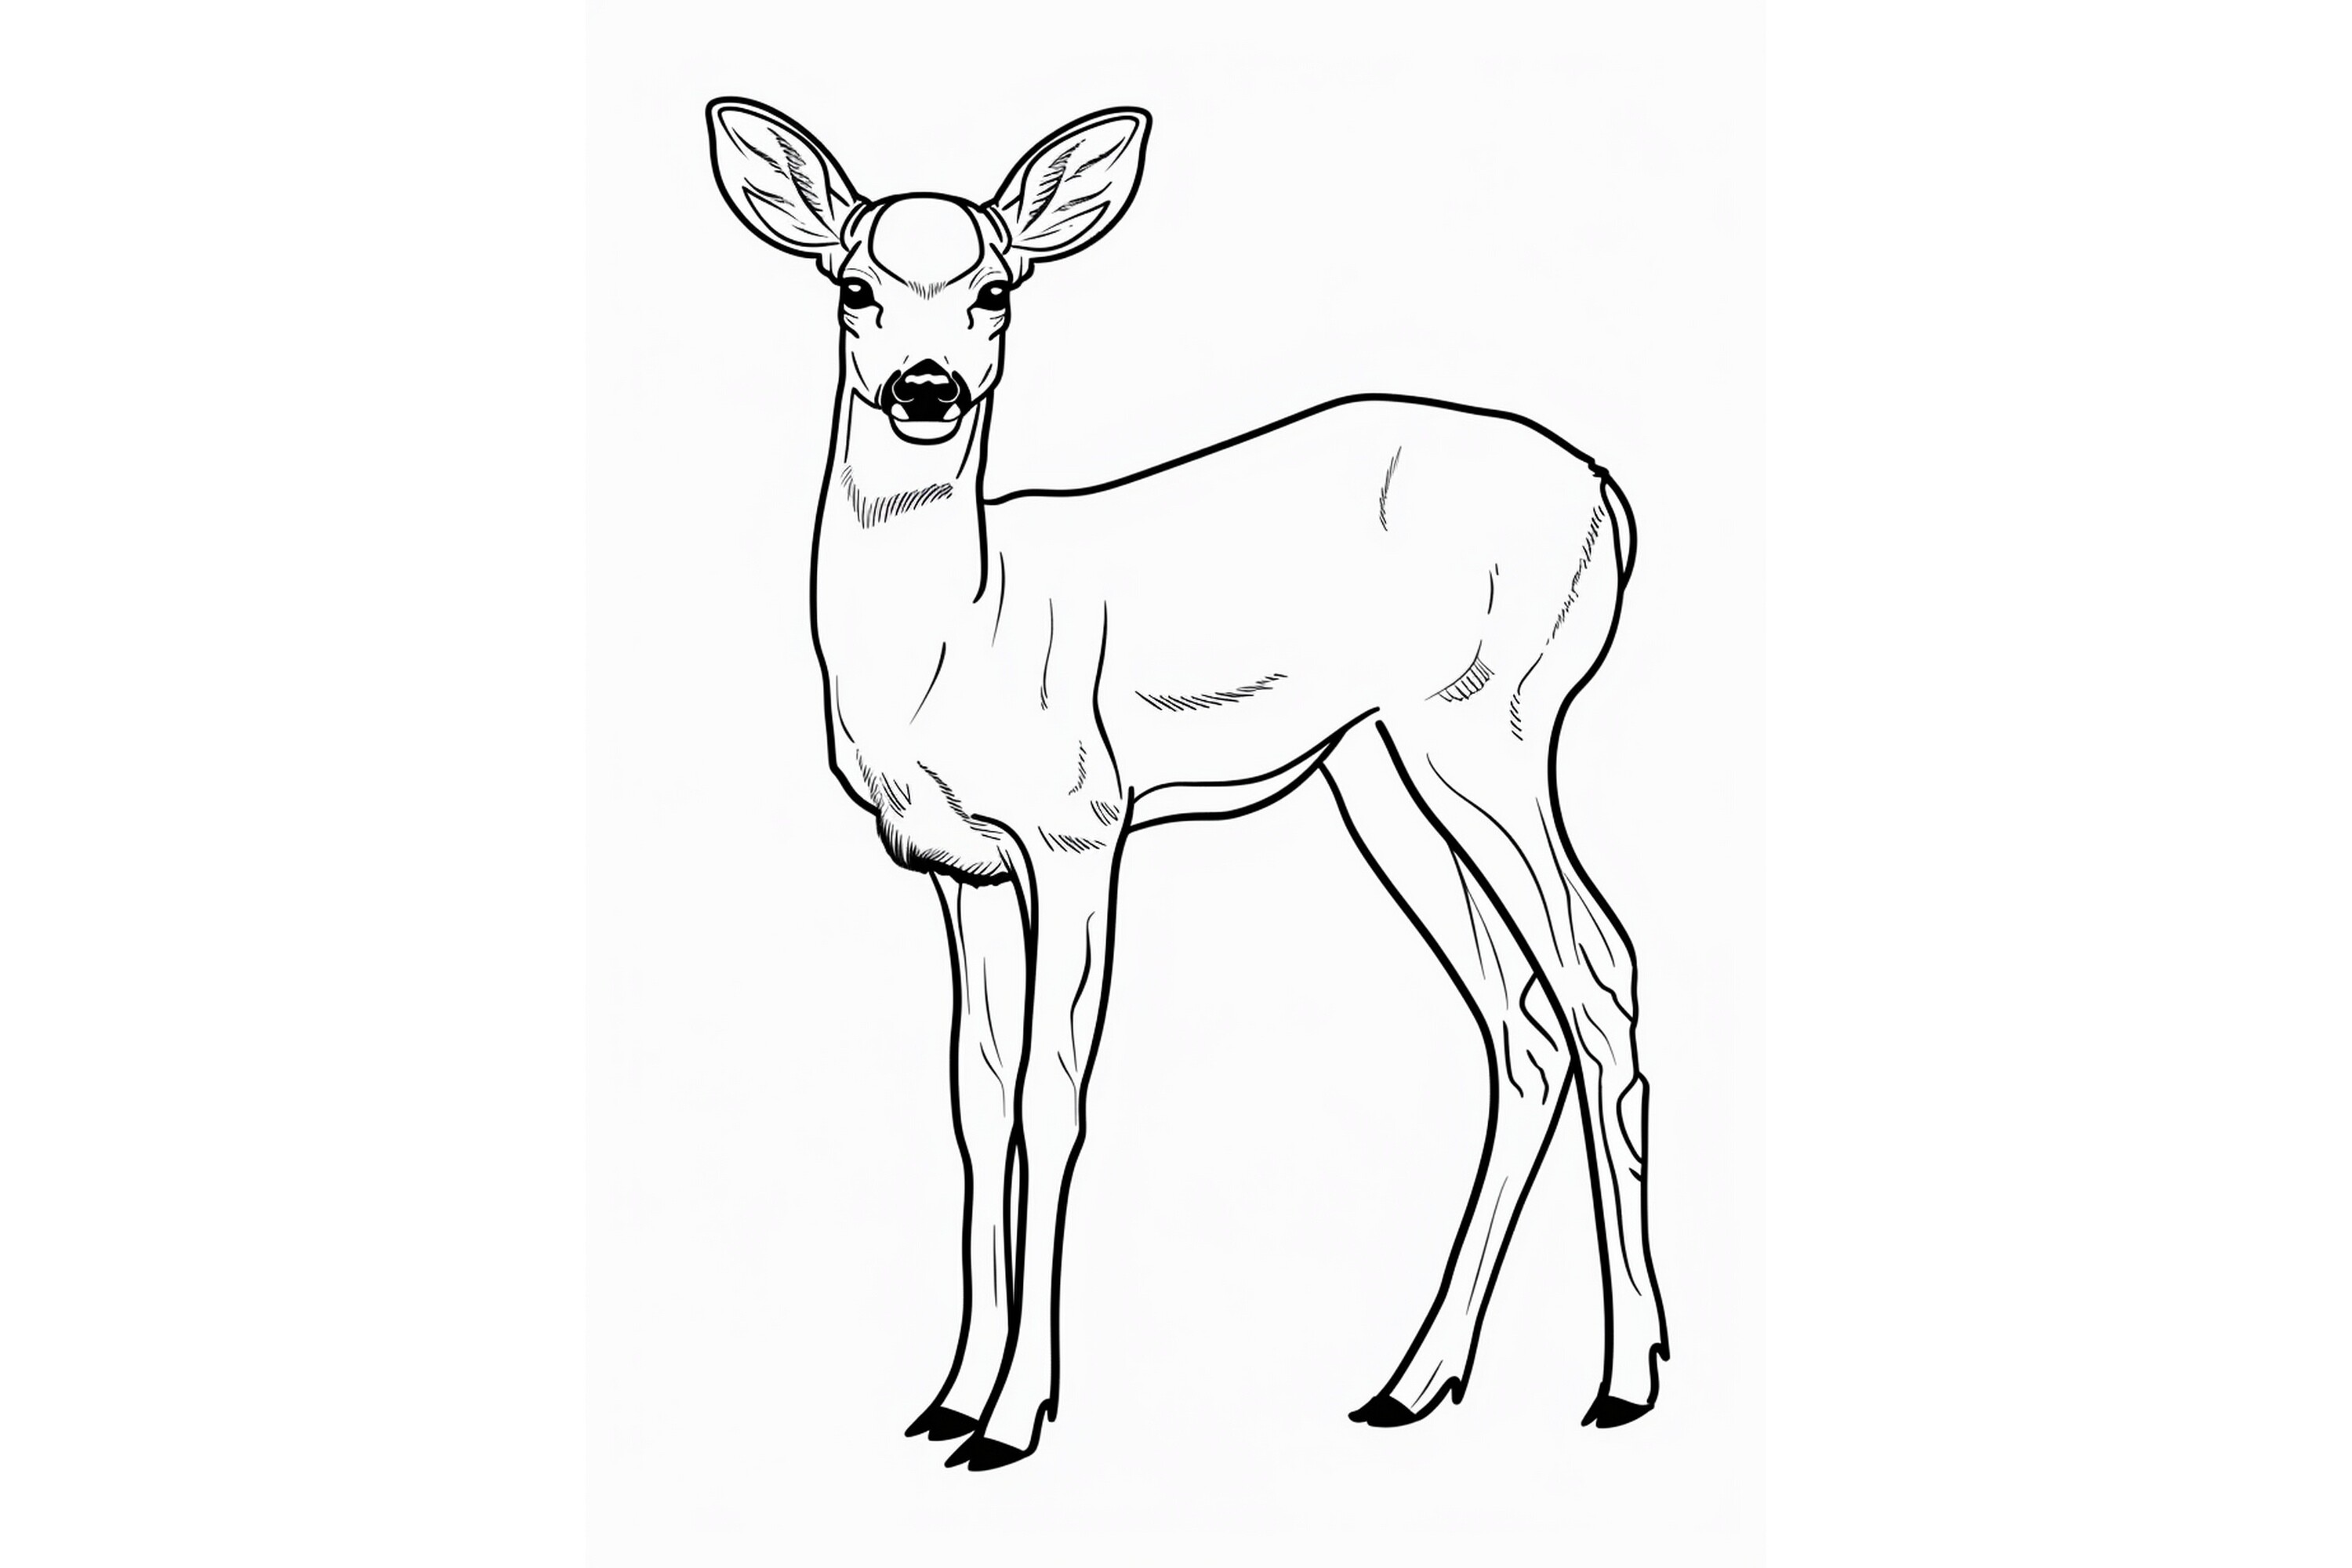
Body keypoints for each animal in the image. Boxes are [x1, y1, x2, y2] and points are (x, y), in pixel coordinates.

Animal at [704, 98, 1667, 1471]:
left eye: (996, 288)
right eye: (853, 286)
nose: (926, 390)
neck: (961, 629)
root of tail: (1607, 497)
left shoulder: (1077, 826)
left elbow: (1053, 1096)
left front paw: (1014, 1419)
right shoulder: (958, 867)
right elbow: (973, 1099)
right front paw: (946, 1396)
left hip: (1492, 721)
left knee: (1599, 971)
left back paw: (1628, 1377)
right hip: (1383, 769)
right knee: (1519, 1018)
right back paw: (1412, 1381)